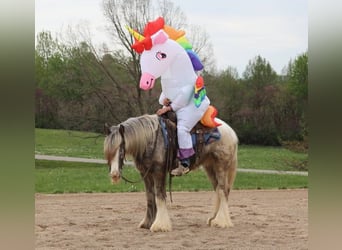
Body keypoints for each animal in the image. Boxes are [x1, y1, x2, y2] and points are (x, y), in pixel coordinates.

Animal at [104, 113, 238, 232]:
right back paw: (213, 219)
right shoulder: (146, 173)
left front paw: (160, 225)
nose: (114, 174)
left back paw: (221, 221)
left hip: (221, 167)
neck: (150, 139)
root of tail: (231, 132)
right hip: (210, 167)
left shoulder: (158, 172)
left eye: (121, 149)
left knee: (222, 191)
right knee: (217, 190)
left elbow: (159, 196)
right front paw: (147, 223)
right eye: (107, 152)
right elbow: (150, 197)